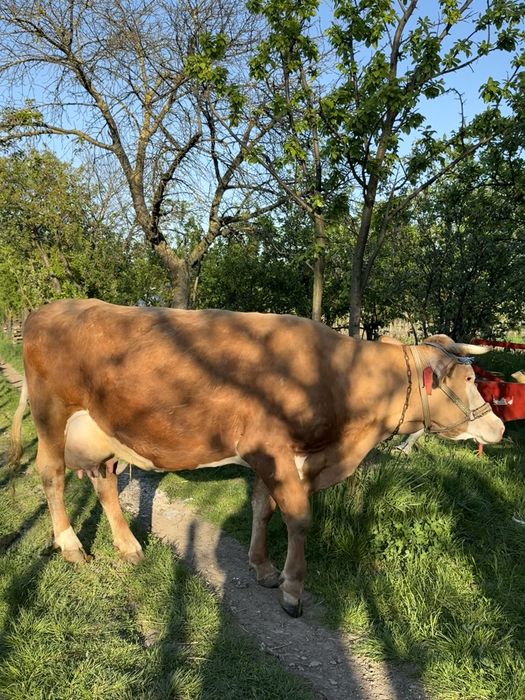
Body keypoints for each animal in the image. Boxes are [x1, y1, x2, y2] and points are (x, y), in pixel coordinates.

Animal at [9, 299, 504, 617]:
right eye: (467, 379)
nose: (498, 428)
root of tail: (47, 309)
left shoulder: (286, 457)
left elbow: (263, 509)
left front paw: (263, 569)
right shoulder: (271, 448)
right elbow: (298, 518)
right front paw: (292, 589)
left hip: (104, 431)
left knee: (104, 479)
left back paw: (129, 547)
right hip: (51, 415)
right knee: (52, 475)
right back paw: (71, 545)